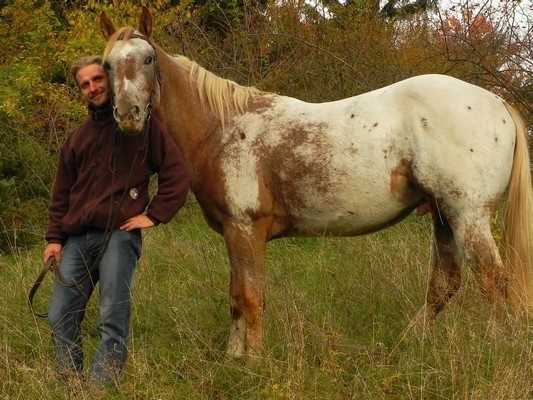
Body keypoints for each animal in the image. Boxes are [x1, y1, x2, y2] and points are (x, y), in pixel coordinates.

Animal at [98, 7, 532, 360]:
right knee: (445, 284)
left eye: (148, 59)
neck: (220, 128)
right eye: (106, 66)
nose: (128, 115)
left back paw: (500, 348)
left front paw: (254, 363)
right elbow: (236, 296)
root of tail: (498, 103)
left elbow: (251, 297)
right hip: (444, 216)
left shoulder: (245, 230)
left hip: (467, 216)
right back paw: (405, 344)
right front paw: (233, 357)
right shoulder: (234, 234)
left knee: (495, 282)